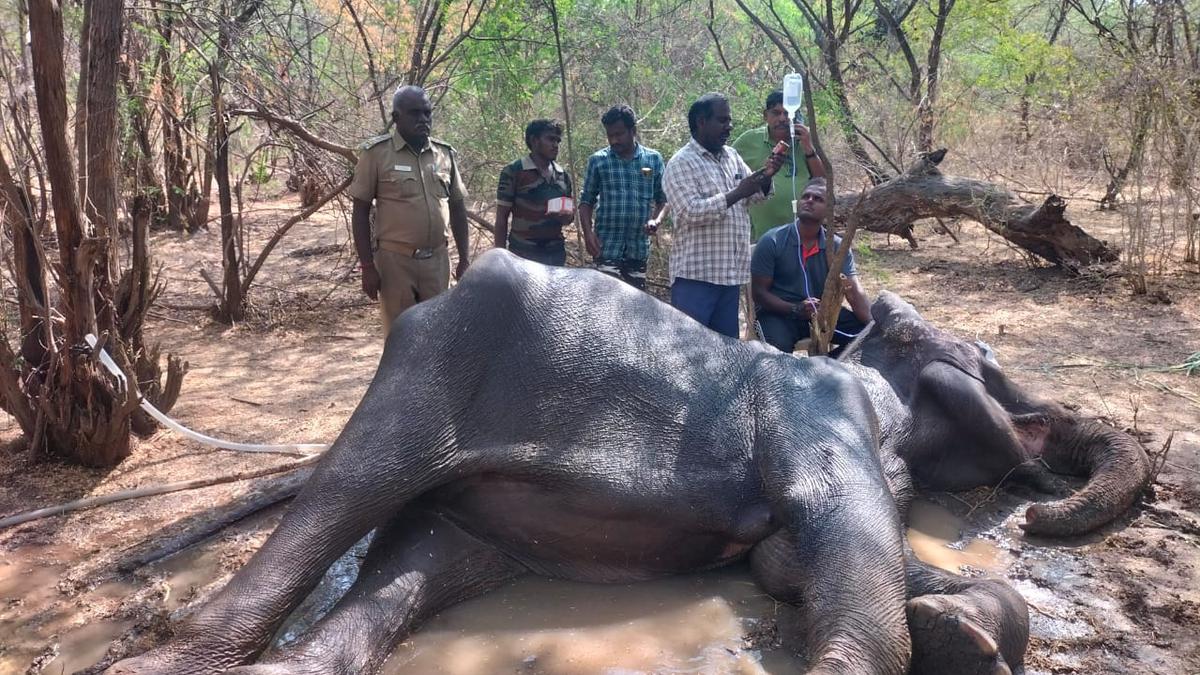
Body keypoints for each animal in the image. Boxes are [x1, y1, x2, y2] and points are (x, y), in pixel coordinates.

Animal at [108, 249, 1147, 672]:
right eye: (989, 359)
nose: (1041, 504)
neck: (851, 354)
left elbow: (798, 559)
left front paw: (961, 628)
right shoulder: (815, 408)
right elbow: (837, 532)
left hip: (474, 521)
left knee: (407, 576)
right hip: (425, 373)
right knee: (344, 493)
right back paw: (156, 663)